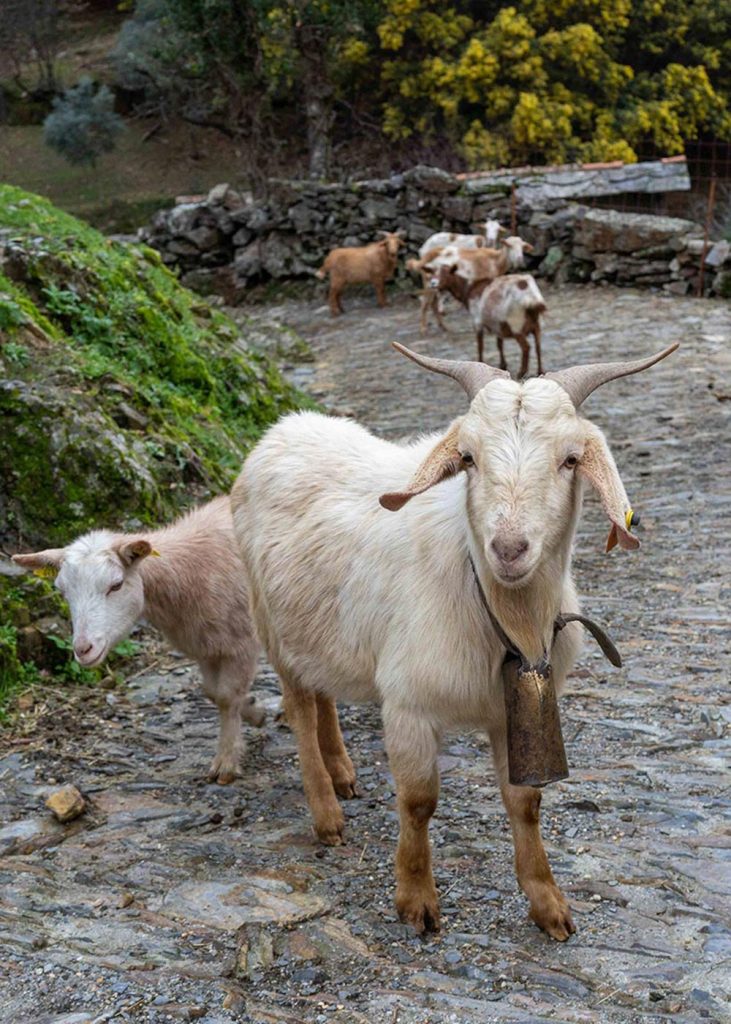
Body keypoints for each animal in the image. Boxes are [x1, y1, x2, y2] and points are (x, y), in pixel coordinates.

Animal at [13, 496, 263, 784]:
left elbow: (227, 697)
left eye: (116, 585)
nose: (83, 649)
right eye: (62, 591)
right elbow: (213, 692)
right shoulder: (206, 647)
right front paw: (255, 713)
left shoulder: (242, 643)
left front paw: (227, 761)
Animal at [231, 342, 677, 939]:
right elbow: (419, 802)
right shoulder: (408, 706)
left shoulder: (512, 712)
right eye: (467, 458)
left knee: (322, 689)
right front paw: (416, 899)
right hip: (270, 624)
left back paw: (343, 772)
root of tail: (283, 427)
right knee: (300, 707)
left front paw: (547, 902)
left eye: (569, 460)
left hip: (315, 628)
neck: (500, 613)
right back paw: (326, 811)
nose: (509, 548)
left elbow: (526, 801)